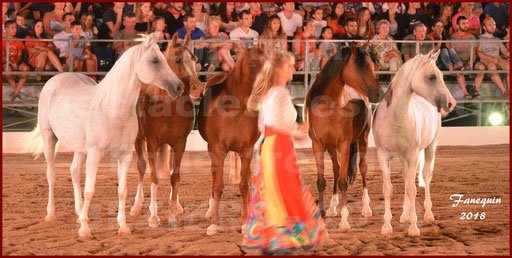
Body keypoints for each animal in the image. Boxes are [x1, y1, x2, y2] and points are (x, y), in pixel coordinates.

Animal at [24, 34, 185, 238]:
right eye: (155, 60)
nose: (179, 87)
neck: (112, 109)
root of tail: (55, 80)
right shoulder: (95, 155)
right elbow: (90, 190)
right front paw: (85, 229)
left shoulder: (124, 156)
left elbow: (122, 191)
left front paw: (123, 226)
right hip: (49, 138)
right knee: (51, 174)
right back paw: (51, 214)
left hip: (79, 149)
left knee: (74, 171)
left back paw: (79, 212)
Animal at [129, 32, 203, 228]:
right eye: (178, 59)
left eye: (194, 59)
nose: (197, 88)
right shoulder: (152, 143)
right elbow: (153, 177)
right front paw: (154, 217)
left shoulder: (179, 144)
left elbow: (174, 177)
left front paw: (173, 214)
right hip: (138, 140)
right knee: (141, 167)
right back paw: (136, 205)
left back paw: (177, 206)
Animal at [197, 44, 266, 236]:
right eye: (252, 64)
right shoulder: (219, 150)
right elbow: (218, 185)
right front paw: (214, 224)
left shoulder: (247, 150)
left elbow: (244, 185)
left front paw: (244, 223)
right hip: (211, 149)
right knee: (214, 178)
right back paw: (210, 210)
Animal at [304, 43, 380, 231]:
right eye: (361, 67)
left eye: (372, 65)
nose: (378, 93)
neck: (328, 107)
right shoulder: (317, 145)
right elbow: (322, 181)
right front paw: (322, 213)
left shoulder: (344, 145)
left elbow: (344, 182)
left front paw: (344, 222)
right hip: (332, 148)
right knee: (337, 169)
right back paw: (332, 207)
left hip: (363, 139)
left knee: (362, 167)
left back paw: (366, 207)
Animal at [372, 49, 456, 237]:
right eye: (432, 76)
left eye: (442, 75)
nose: (451, 103)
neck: (396, 117)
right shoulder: (383, 155)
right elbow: (388, 188)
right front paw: (387, 226)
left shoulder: (413, 154)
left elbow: (412, 189)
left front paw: (413, 227)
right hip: (403, 157)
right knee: (406, 178)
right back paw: (404, 215)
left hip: (430, 147)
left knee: (425, 176)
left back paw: (427, 214)